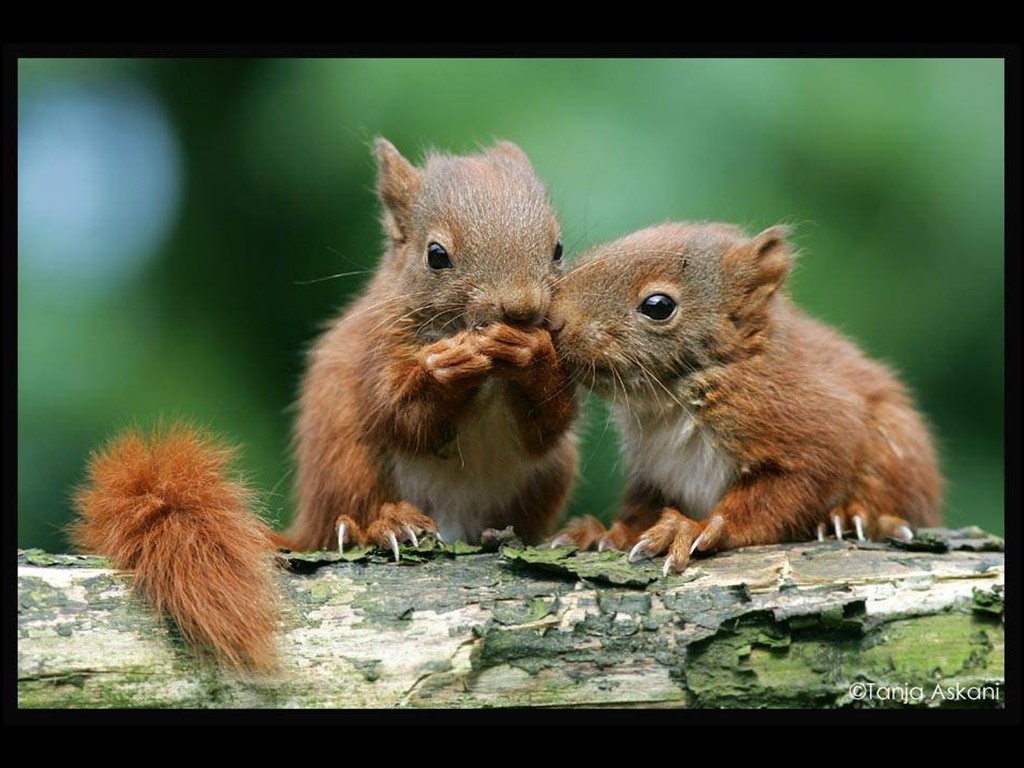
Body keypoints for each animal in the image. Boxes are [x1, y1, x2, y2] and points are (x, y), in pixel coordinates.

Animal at [73, 141, 581, 671]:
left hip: (552, 474)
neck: (491, 374)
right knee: (347, 514)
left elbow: (546, 427)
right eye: (436, 255)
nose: (521, 310)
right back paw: (380, 526)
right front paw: (448, 366)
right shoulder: (373, 354)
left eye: (558, 248)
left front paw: (532, 356)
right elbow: (403, 416)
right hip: (347, 459)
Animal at [548, 219, 937, 573]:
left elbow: (781, 496)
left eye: (658, 305)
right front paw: (606, 533)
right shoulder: (653, 471)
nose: (553, 322)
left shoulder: (810, 428)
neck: (670, 405)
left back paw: (857, 517)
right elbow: (641, 508)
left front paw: (692, 528)